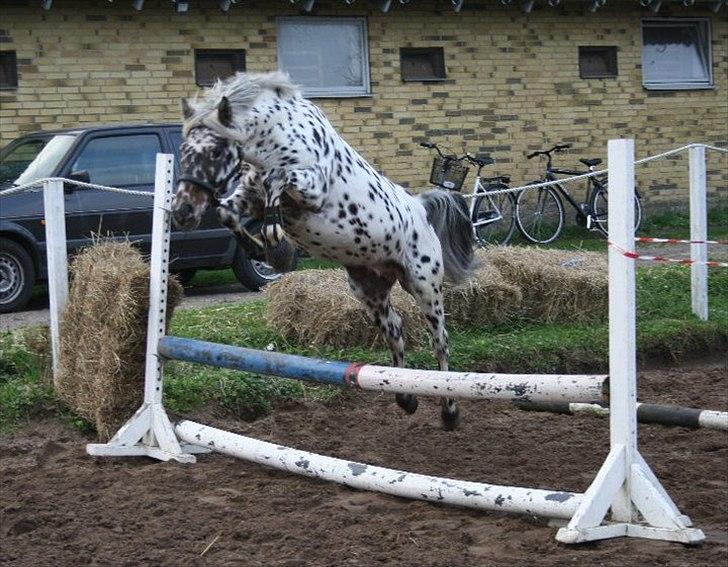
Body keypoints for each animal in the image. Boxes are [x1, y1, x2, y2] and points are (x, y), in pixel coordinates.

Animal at [173, 71, 474, 428]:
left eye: (217, 152)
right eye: (183, 149)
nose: (182, 212)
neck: (274, 136)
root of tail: (421, 208)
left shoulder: (309, 188)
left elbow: (277, 180)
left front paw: (276, 248)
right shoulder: (250, 195)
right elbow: (227, 213)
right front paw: (263, 251)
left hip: (424, 285)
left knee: (441, 342)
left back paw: (450, 412)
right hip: (368, 289)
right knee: (395, 330)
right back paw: (406, 398)